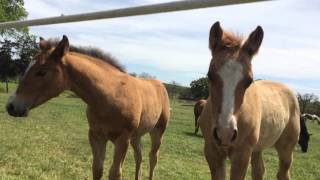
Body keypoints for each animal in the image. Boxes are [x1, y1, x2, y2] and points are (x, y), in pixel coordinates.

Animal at [5, 35, 170, 180]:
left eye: (41, 72)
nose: (11, 106)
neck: (111, 96)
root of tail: (160, 84)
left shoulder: (122, 139)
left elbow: (115, 173)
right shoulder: (96, 136)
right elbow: (97, 169)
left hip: (158, 131)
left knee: (153, 157)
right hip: (136, 135)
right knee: (139, 156)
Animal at [199, 22, 302, 180]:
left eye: (249, 80)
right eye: (210, 75)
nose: (225, 133)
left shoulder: (242, 155)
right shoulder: (212, 152)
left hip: (286, 149)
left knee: (283, 173)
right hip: (257, 148)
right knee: (259, 171)